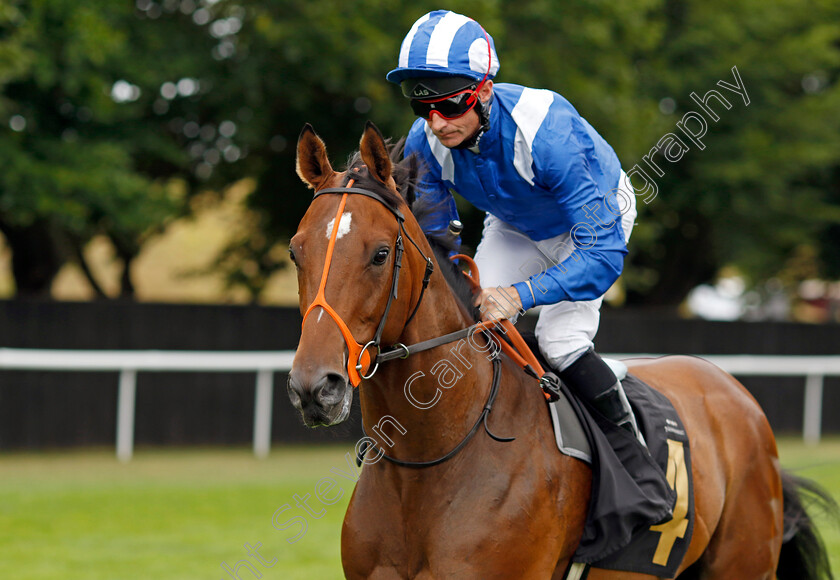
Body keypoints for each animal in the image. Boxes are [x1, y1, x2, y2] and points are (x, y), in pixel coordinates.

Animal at [288, 122, 832, 580]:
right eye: (296, 251)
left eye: (380, 254)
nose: (315, 387)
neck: (429, 461)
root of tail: (737, 395)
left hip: (744, 563)